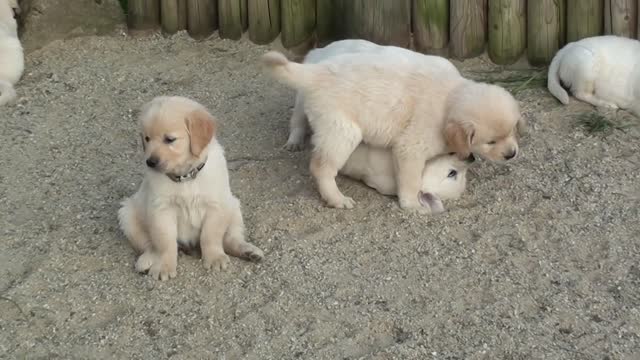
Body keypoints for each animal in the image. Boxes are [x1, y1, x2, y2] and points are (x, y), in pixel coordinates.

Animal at [117, 96, 262, 282]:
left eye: (169, 139)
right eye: (147, 138)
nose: (150, 162)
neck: (185, 177)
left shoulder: (216, 206)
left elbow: (210, 235)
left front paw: (214, 258)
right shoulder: (161, 209)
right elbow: (165, 241)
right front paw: (164, 265)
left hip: (233, 205)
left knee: (230, 238)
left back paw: (248, 251)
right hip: (127, 213)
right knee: (149, 245)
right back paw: (147, 260)